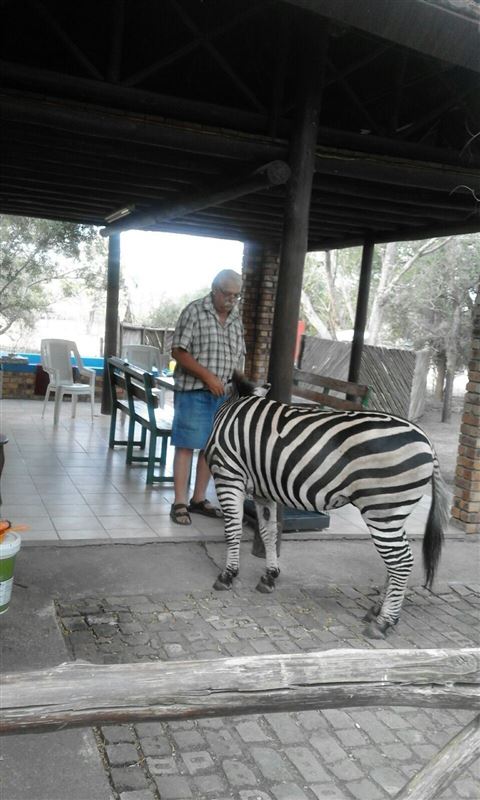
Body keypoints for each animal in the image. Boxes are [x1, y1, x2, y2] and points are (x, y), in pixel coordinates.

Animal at [204, 373, 449, 639]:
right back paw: (377, 609)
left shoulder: (227, 474)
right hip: (394, 511)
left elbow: (233, 530)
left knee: (401, 561)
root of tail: (426, 440)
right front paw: (269, 576)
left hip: (381, 509)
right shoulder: (262, 490)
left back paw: (384, 622)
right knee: (395, 561)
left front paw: (227, 575)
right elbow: (268, 532)